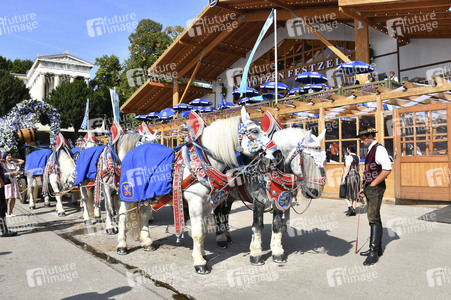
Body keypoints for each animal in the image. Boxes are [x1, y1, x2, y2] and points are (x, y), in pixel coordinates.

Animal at [115, 109, 280, 276]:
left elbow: (203, 231)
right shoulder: (195, 201)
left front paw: (202, 254)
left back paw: (146, 242)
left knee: (144, 215)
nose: (277, 152)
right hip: (127, 194)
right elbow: (197, 232)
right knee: (122, 217)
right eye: (254, 131)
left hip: (148, 196)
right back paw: (121, 246)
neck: (202, 162)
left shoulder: (207, 204)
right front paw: (200, 263)